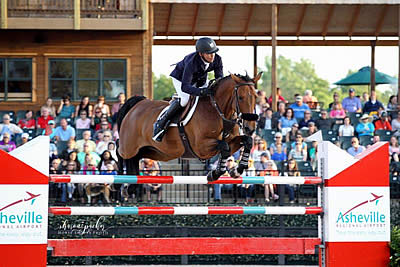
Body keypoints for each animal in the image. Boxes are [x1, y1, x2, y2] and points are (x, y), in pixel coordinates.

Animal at [115, 73, 262, 182]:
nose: (250, 128)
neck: (218, 111)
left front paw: (237, 170)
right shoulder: (201, 147)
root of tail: (137, 104)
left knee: (136, 157)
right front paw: (215, 174)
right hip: (128, 148)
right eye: (241, 97)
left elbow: (247, 141)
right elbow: (224, 147)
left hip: (156, 152)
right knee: (118, 149)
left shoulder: (230, 140)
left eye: (256, 97)